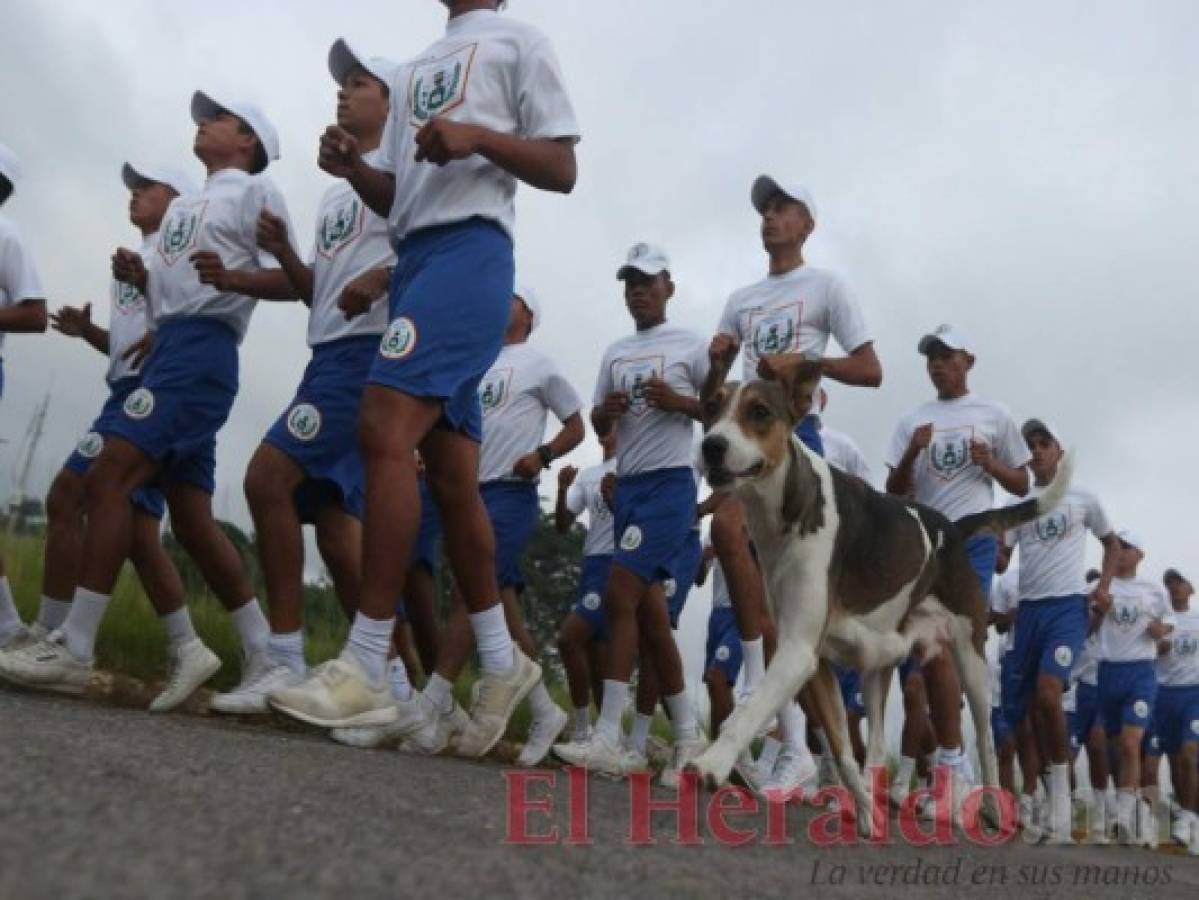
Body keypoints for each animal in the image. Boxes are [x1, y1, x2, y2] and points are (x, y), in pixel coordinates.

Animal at [690, 354, 1074, 834]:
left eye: (759, 412)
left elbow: (750, 710)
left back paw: (990, 807)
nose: (711, 447)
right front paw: (868, 817)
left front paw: (713, 763)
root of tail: (952, 527)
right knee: (872, 748)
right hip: (877, 667)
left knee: (985, 742)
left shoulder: (797, 651)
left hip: (971, 663)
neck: (783, 512)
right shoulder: (816, 664)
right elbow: (842, 751)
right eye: (711, 409)